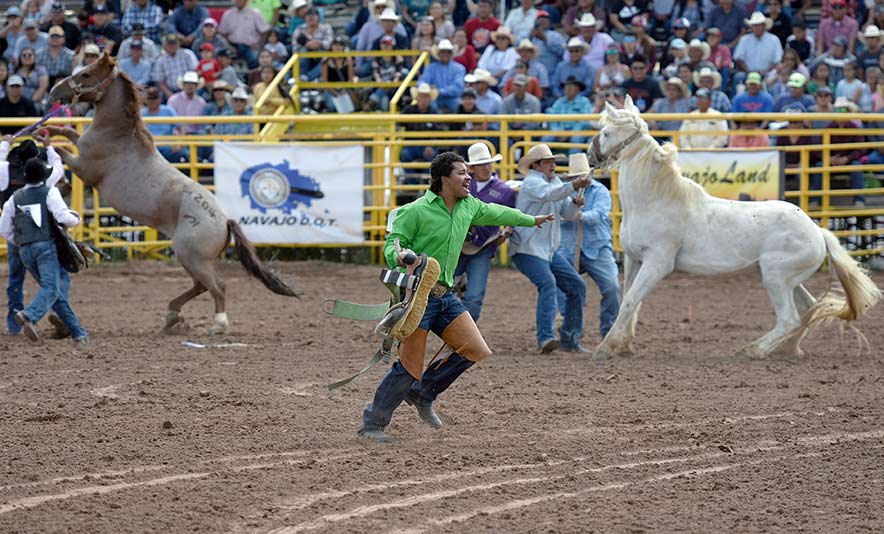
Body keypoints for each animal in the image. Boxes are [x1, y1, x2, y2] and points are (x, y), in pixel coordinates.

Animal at [46, 55, 298, 340]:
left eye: (87, 74)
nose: (54, 91)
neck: (117, 134)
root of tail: (225, 222)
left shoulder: (84, 168)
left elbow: (61, 150)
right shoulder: (81, 146)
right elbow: (66, 132)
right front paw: (46, 128)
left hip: (191, 257)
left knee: (217, 286)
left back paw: (217, 324)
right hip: (192, 260)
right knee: (200, 286)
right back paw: (171, 316)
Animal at [592, 96, 880, 360]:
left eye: (606, 132)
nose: (591, 155)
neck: (655, 200)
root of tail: (818, 232)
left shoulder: (657, 263)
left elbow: (631, 300)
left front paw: (605, 347)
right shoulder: (634, 259)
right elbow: (629, 302)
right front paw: (623, 345)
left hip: (776, 278)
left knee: (789, 318)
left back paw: (753, 350)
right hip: (789, 279)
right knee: (808, 308)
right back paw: (786, 349)